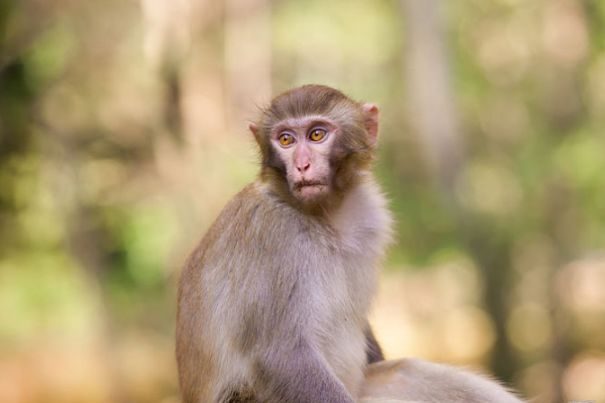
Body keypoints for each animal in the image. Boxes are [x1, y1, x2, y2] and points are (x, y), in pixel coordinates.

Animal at [175, 83, 392, 402]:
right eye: (286, 140)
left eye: (317, 135)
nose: (302, 165)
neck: (324, 218)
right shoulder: (273, 237)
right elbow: (282, 356)